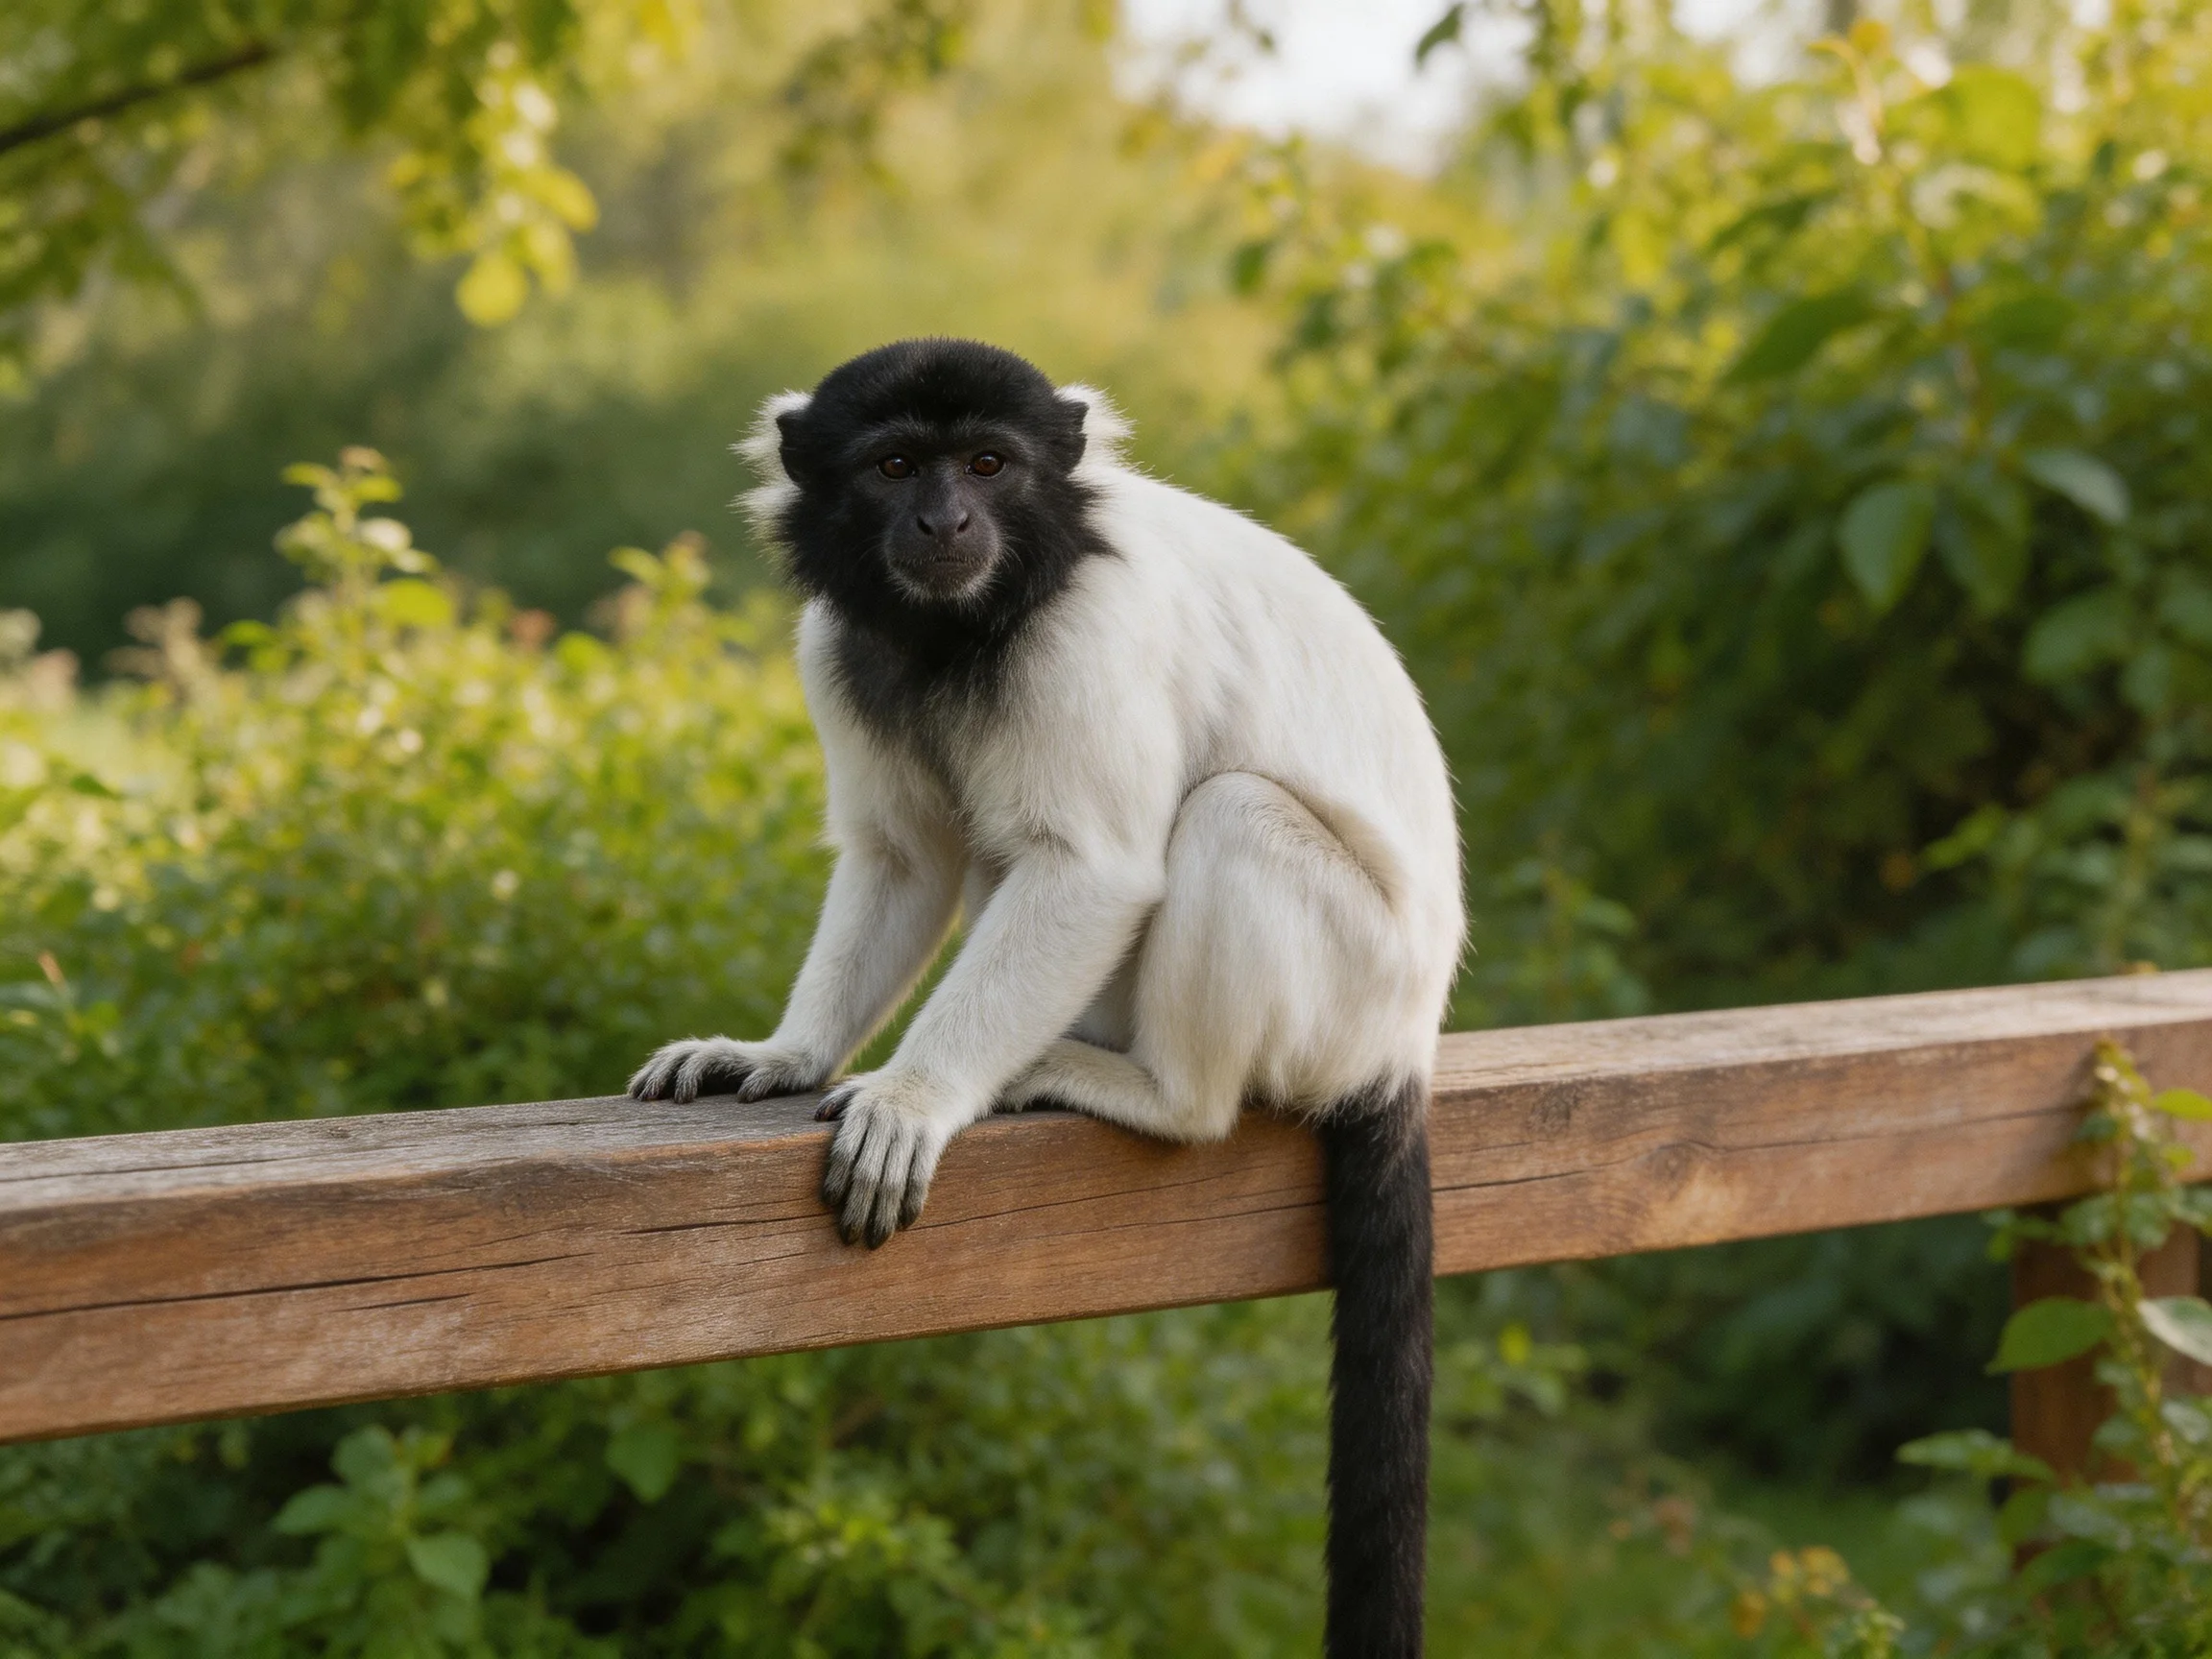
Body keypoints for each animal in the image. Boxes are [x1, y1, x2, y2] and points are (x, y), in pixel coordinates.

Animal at [629, 339, 1463, 1657]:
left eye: (985, 464)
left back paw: (1160, 1096)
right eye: (897, 467)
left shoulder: (1084, 640)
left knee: (1229, 817)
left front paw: (917, 1097)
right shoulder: (840, 647)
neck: (970, 618)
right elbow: (903, 860)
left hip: (1348, 985)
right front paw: (784, 1053)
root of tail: (1406, 1043)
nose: (944, 521)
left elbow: (1096, 870)